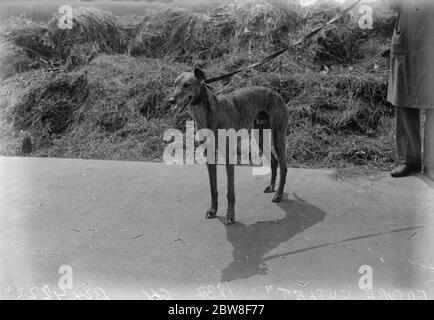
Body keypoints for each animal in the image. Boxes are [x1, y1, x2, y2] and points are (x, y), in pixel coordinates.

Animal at [169, 69, 288, 224]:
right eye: (175, 84)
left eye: (187, 84)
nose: (171, 100)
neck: (208, 113)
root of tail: (276, 93)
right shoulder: (209, 156)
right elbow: (213, 188)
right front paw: (213, 210)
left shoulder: (228, 157)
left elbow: (230, 192)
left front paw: (230, 215)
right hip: (260, 136)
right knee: (274, 162)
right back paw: (272, 187)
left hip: (277, 136)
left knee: (283, 167)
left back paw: (279, 194)